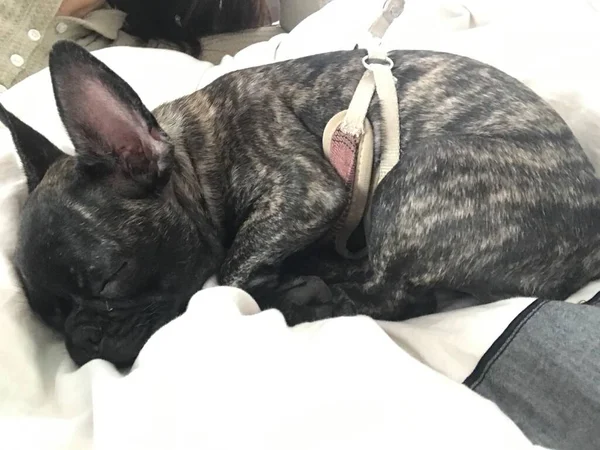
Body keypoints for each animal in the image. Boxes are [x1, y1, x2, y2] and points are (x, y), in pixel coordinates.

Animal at [1, 40, 600, 368]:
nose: (82, 340)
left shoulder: (306, 191)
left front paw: (283, 287)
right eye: (48, 316)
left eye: (110, 280)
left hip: (416, 174)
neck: (197, 152)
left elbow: (230, 271)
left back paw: (308, 295)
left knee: (389, 295)